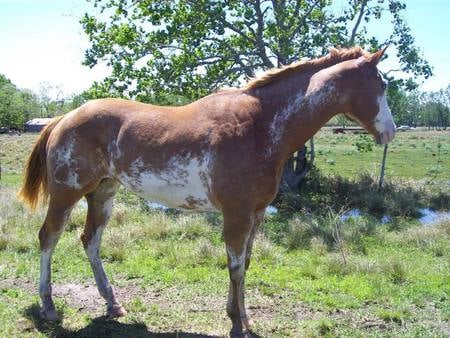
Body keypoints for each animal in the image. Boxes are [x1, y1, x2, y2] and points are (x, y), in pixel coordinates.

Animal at [19, 46, 396, 336]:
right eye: (382, 84)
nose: (390, 132)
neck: (261, 125)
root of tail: (65, 117)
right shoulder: (237, 215)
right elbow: (235, 266)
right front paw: (237, 324)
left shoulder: (256, 214)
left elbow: (246, 264)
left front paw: (244, 318)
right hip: (66, 194)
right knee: (48, 238)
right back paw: (49, 307)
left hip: (103, 194)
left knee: (91, 240)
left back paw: (113, 304)